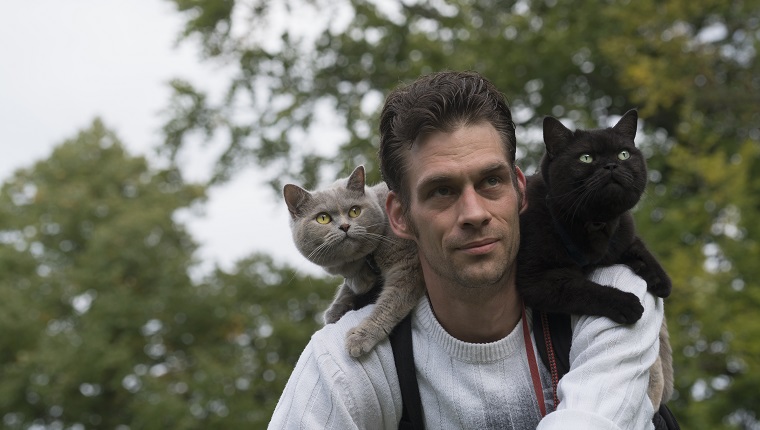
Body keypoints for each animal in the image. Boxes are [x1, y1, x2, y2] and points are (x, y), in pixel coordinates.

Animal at [284, 165, 428, 356]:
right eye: (323, 218)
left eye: (355, 211)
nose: (345, 226)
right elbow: (348, 288)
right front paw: (336, 309)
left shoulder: (407, 265)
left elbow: (390, 304)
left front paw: (360, 338)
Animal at [516, 109, 672, 324]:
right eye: (586, 158)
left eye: (623, 154)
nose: (611, 165)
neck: (596, 223)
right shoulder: (537, 278)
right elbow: (582, 290)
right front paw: (626, 303)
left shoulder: (623, 234)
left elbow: (639, 248)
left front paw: (660, 280)